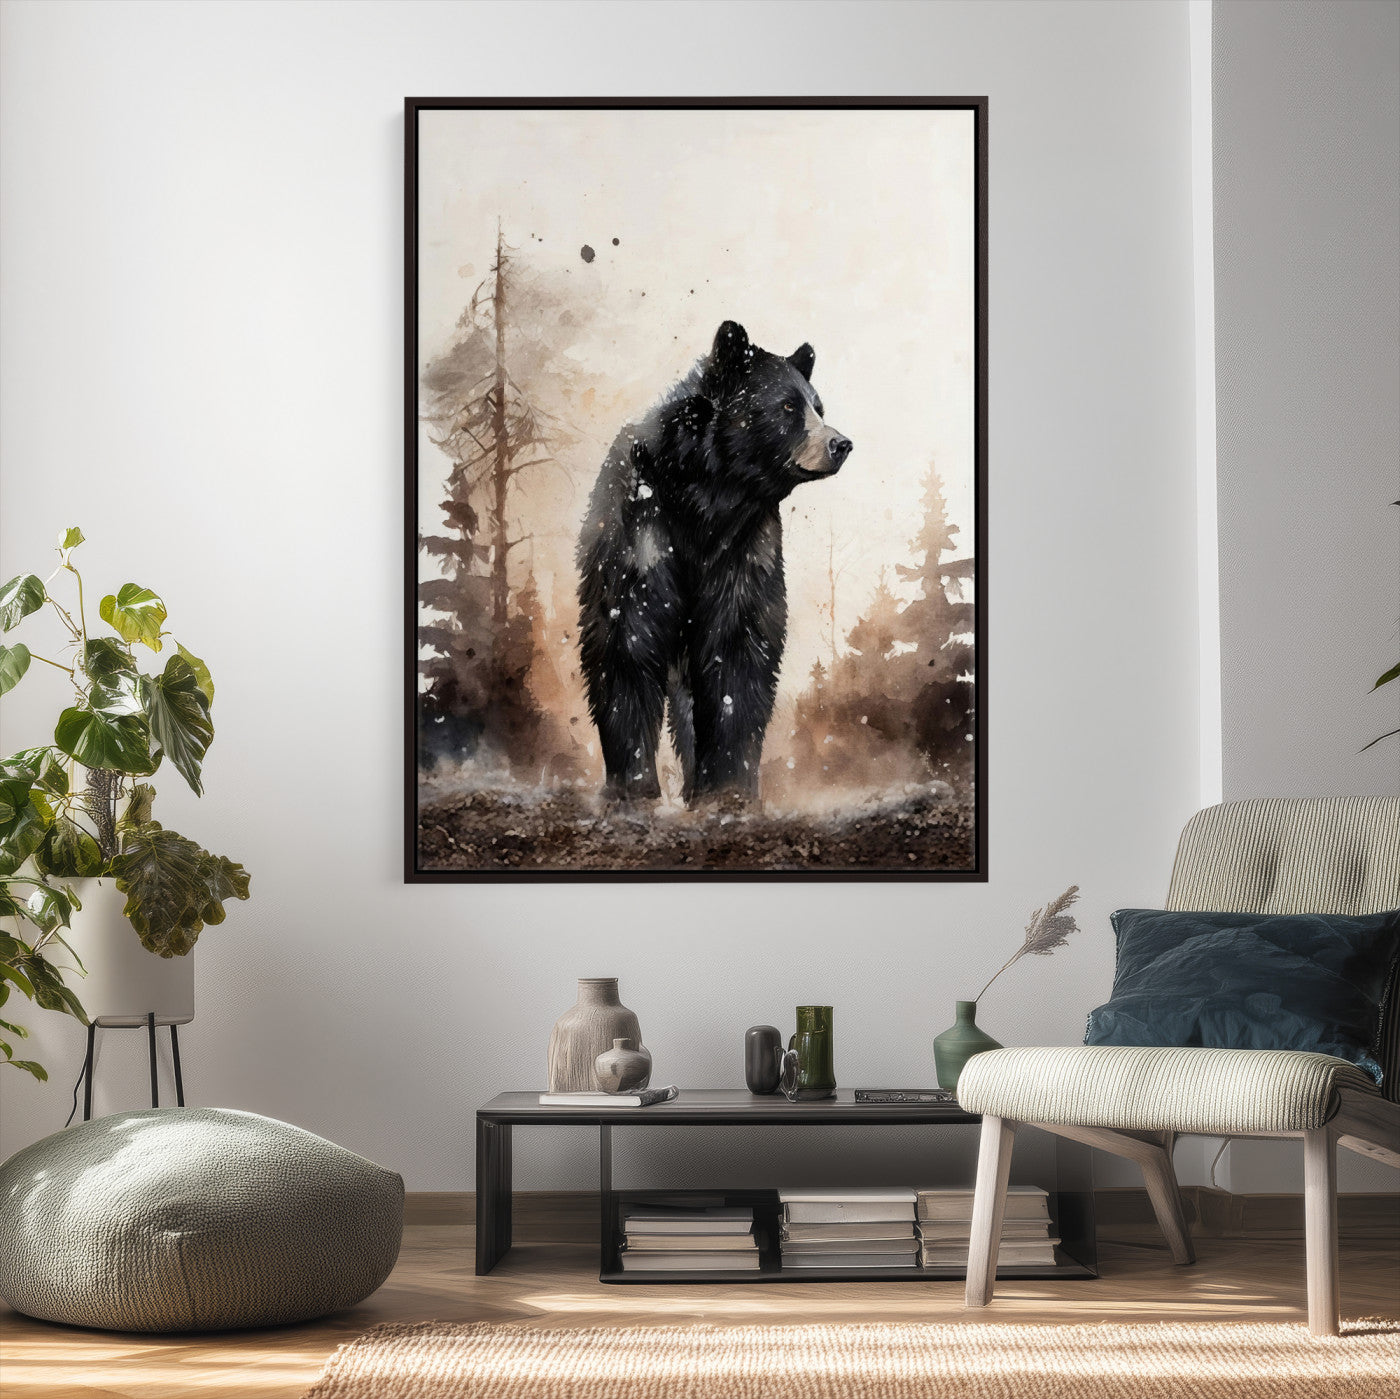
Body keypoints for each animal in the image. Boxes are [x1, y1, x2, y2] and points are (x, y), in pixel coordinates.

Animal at [576, 320, 852, 805]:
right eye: (788, 406)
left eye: (819, 406)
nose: (841, 443)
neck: (708, 500)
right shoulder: (644, 530)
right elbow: (628, 639)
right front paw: (633, 785)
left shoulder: (745, 547)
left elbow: (738, 648)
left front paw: (729, 786)